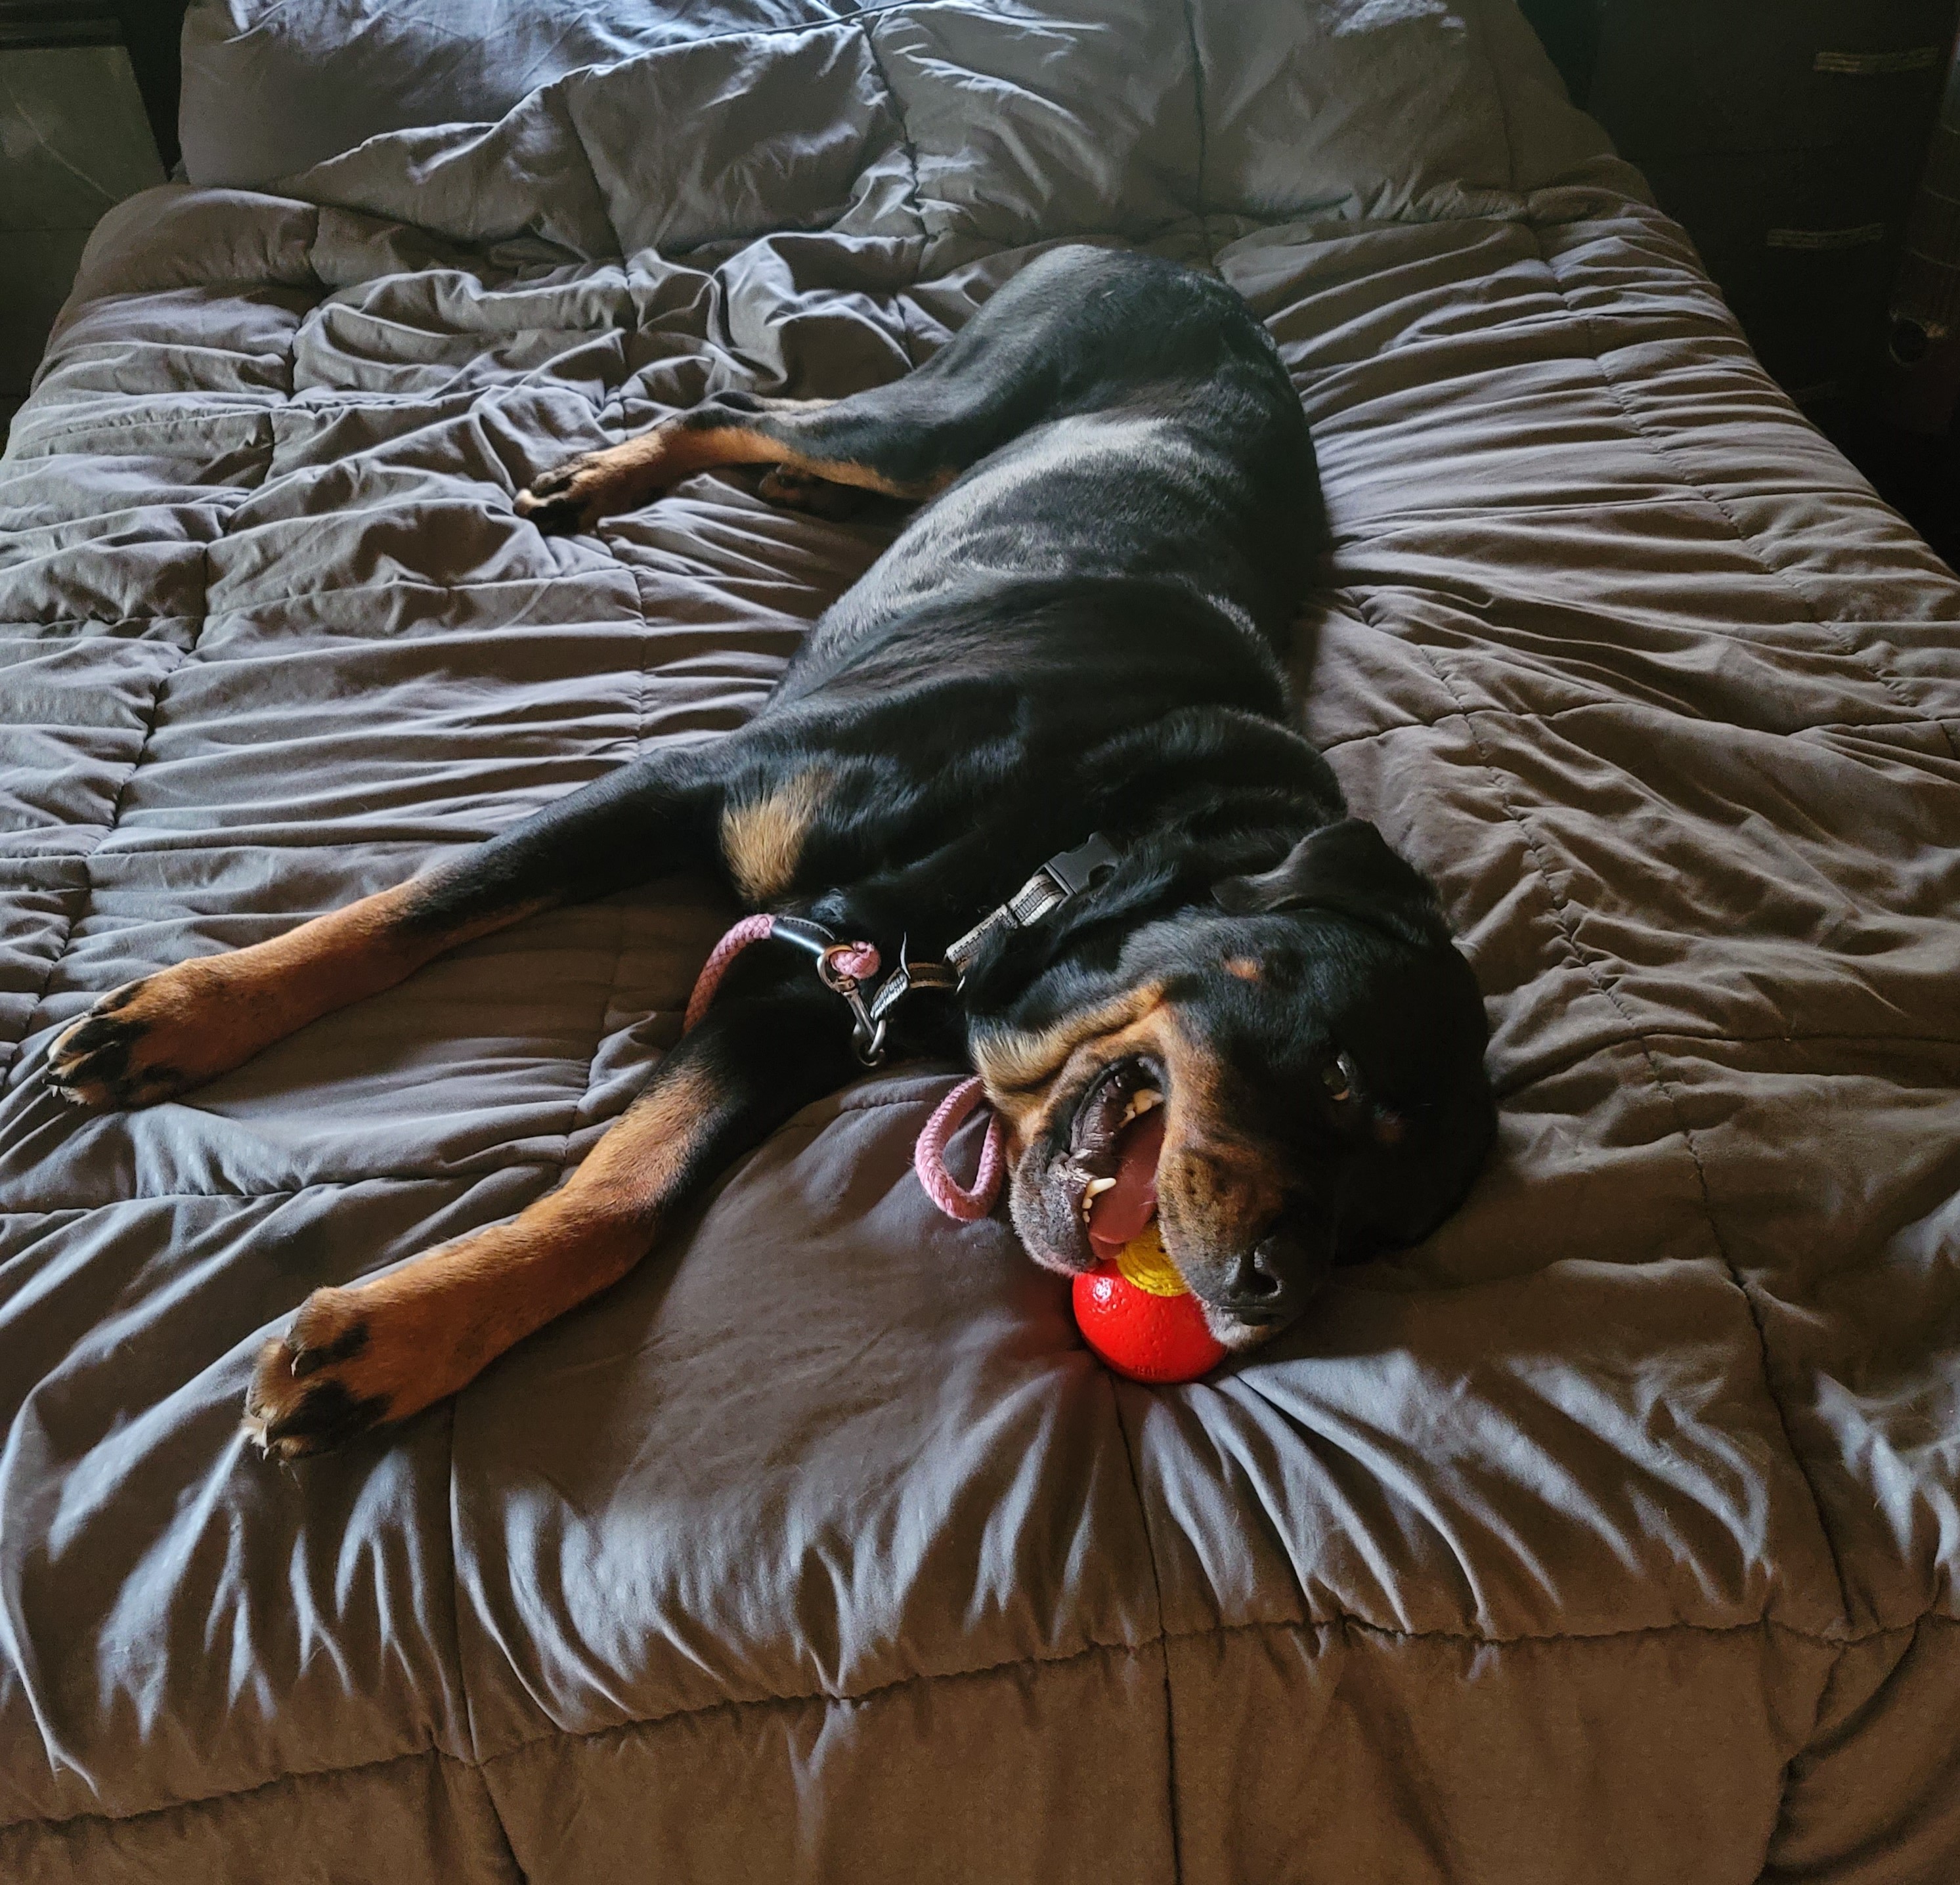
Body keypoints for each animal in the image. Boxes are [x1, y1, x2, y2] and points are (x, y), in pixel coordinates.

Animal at [46, 246, 1489, 1458]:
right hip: (944, 411)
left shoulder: (809, 1006)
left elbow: (634, 1192)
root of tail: (1167, 253)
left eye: (1376, 1237)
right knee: (743, 405)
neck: (1058, 856)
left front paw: (402, 1338)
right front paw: (185, 1014)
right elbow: (410, 911)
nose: (1269, 1297)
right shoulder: (685, 788)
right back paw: (610, 475)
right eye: (1340, 1072)